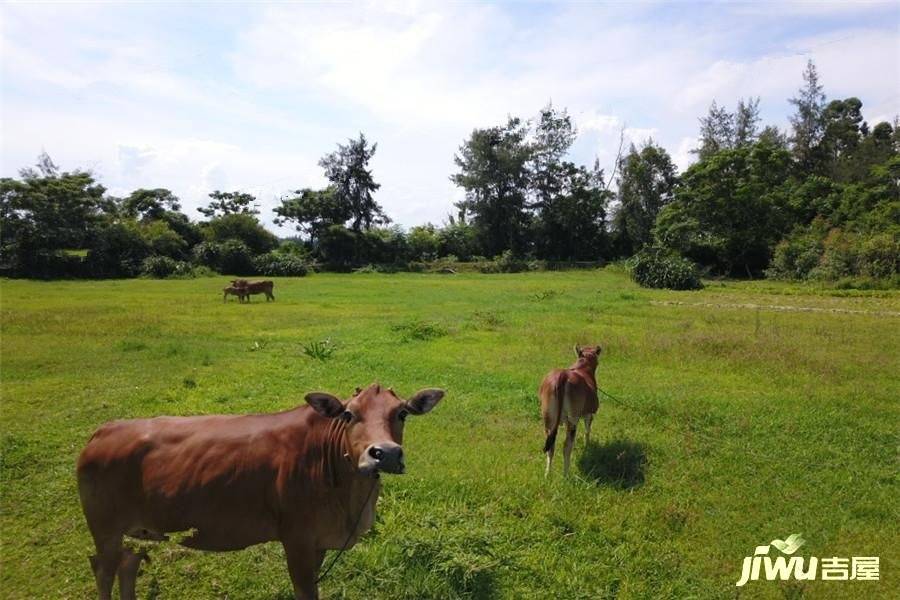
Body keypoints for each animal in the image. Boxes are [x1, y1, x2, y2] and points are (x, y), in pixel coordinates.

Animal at [77, 384, 446, 600]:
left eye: (402, 413)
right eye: (347, 413)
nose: (385, 453)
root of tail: (105, 429)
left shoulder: (318, 543)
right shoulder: (296, 539)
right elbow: (305, 591)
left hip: (140, 530)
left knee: (128, 564)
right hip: (105, 529)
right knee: (104, 569)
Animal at [536, 344, 600, 476]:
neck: (583, 367)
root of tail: (562, 375)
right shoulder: (588, 414)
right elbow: (587, 431)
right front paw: (587, 446)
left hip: (548, 419)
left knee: (551, 446)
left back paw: (547, 474)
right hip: (573, 419)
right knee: (566, 446)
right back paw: (566, 474)